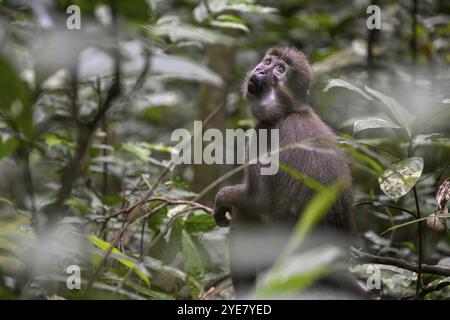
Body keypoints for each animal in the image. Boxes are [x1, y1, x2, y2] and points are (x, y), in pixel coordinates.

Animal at [213, 47, 356, 298]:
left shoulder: (263, 134)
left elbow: (257, 200)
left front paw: (222, 198)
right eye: (268, 62)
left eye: (280, 69)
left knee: (244, 214)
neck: (288, 112)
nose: (261, 70)